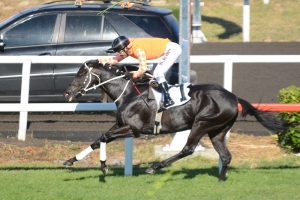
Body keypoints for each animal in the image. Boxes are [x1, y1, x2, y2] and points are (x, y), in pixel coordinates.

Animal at [63, 61, 288, 181]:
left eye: (81, 73)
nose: (67, 92)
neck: (127, 93)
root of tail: (233, 97)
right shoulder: (120, 125)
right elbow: (98, 139)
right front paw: (70, 161)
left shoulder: (133, 129)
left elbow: (103, 137)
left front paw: (103, 167)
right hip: (218, 131)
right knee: (225, 156)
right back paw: (221, 178)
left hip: (202, 123)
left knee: (187, 149)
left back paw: (155, 167)